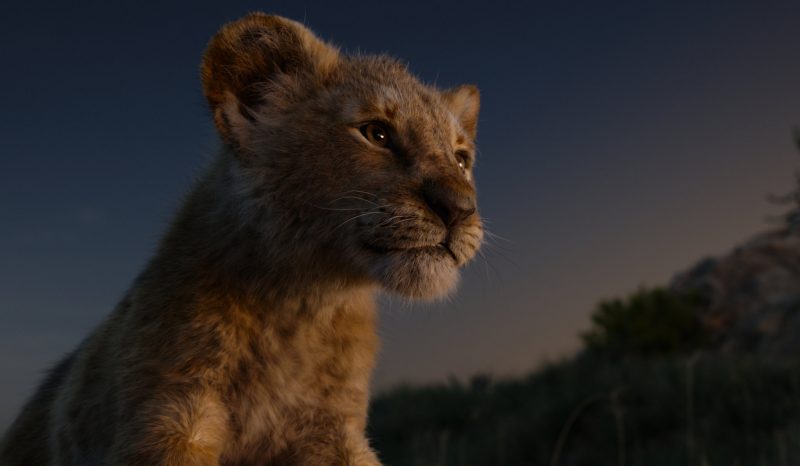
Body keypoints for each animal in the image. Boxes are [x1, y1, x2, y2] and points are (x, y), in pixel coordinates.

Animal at [0, 13, 482, 465]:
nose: (460, 208)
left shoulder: (332, 429)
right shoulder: (168, 414)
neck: (302, 306)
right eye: (377, 133)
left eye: (462, 159)